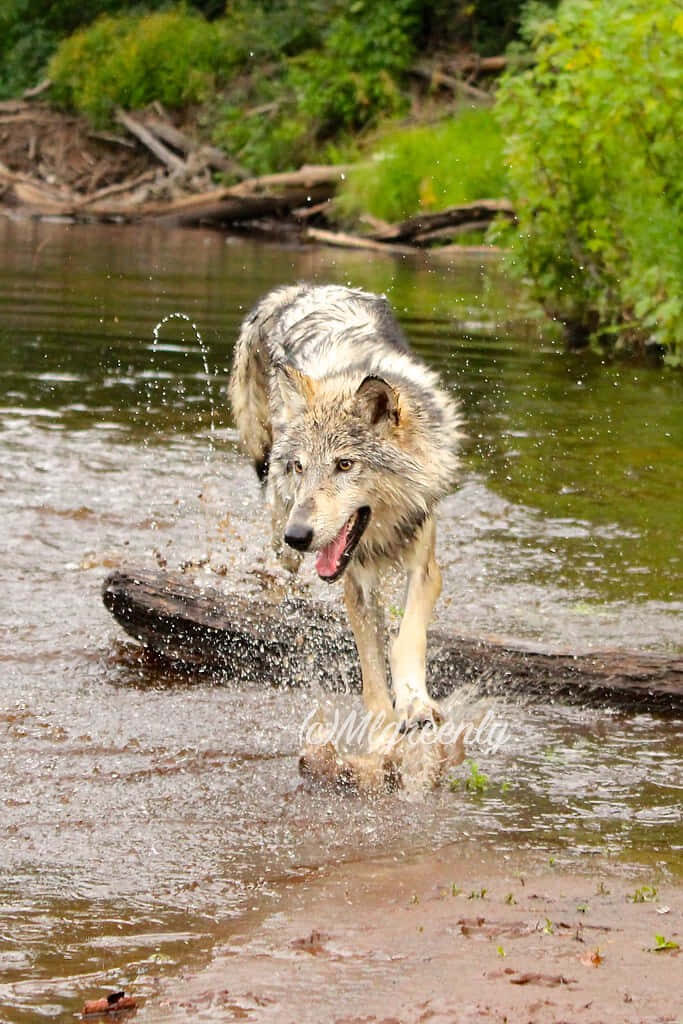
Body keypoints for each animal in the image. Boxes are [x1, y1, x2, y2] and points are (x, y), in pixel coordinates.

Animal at [229, 284, 463, 732]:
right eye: (300, 466)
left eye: (344, 465)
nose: (299, 535)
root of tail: (301, 290)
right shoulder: (356, 583)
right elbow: (370, 667)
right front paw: (382, 722)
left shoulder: (424, 567)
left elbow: (406, 639)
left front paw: (415, 703)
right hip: (280, 521)